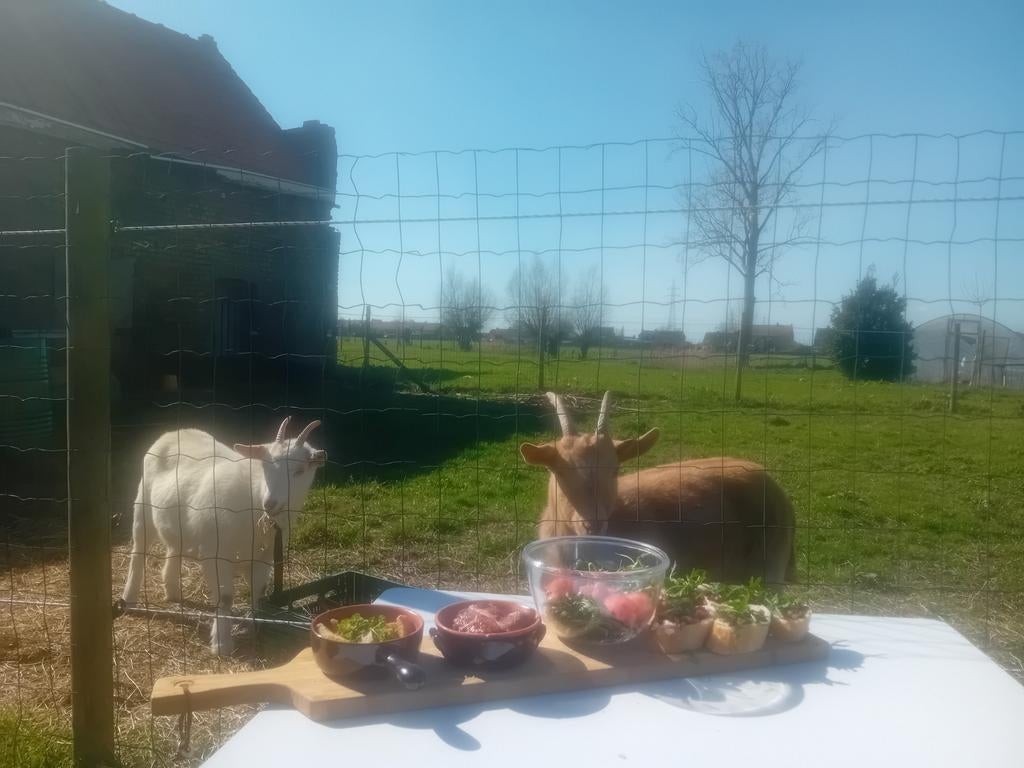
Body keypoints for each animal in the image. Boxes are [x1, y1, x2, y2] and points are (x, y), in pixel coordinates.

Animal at [120, 417, 326, 654]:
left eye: (300, 471)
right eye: (264, 465)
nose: (270, 503)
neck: (253, 496)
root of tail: (175, 431)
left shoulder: (263, 556)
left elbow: (258, 592)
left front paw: (255, 626)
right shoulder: (216, 553)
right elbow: (226, 598)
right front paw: (222, 644)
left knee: (174, 548)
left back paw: (172, 591)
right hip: (142, 507)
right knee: (138, 552)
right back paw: (129, 598)